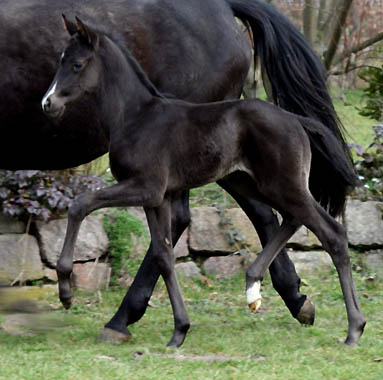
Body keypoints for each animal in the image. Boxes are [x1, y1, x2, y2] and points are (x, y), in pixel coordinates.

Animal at [0, 0, 344, 342]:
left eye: (77, 64)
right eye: (61, 60)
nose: (48, 103)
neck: (137, 115)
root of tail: (296, 120)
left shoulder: (145, 187)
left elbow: (80, 204)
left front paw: (66, 291)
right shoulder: (155, 197)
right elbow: (164, 254)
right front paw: (181, 326)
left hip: (268, 181)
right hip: (246, 179)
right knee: (282, 216)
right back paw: (277, 297)